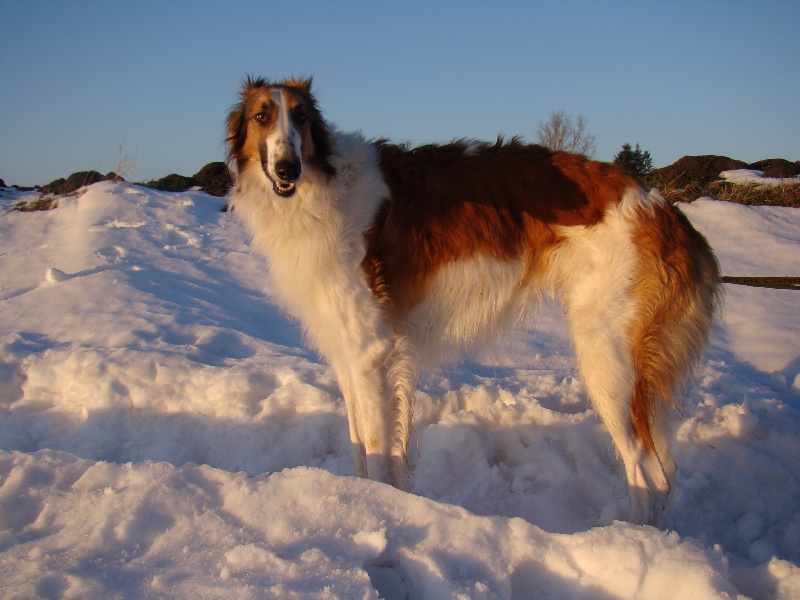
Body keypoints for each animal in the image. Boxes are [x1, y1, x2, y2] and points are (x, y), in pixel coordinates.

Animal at [225, 77, 720, 528]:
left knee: (650, 474)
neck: (323, 186)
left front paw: (379, 511)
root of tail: (664, 209)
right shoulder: (348, 353)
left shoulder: (372, 352)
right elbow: (360, 448)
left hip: (607, 358)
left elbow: (378, 453)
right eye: (262, 116)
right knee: (661, 473)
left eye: (301, 118)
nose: (287, 169)